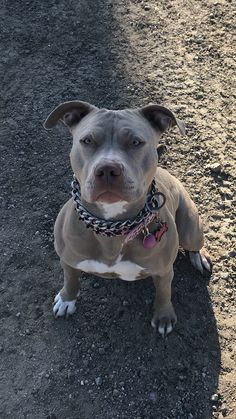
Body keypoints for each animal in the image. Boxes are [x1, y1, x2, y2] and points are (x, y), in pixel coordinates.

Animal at [43, 101, 211, 338]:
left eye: (136, 142)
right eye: (87, 141)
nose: (107, 169)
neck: (112, 227)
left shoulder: (164, 271)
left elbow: (164, 292)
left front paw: (164, 316)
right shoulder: (67, 259)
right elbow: (70, 279)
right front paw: (67, 299)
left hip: (190, 228)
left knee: (194, 244)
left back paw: (199, 257)